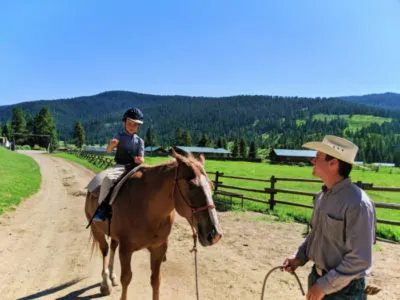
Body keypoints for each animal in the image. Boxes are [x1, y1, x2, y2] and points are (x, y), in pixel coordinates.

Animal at [84, 151, 222, 300]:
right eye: (191, 186)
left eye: (211, 186)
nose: (215, 234)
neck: (146, 207)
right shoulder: (126, 249)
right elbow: (126, 278)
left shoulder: (158, 248)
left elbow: (156, 280)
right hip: (96, 229)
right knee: (104, 250)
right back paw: (105, 283)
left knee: (113, 247)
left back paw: (112, 276)